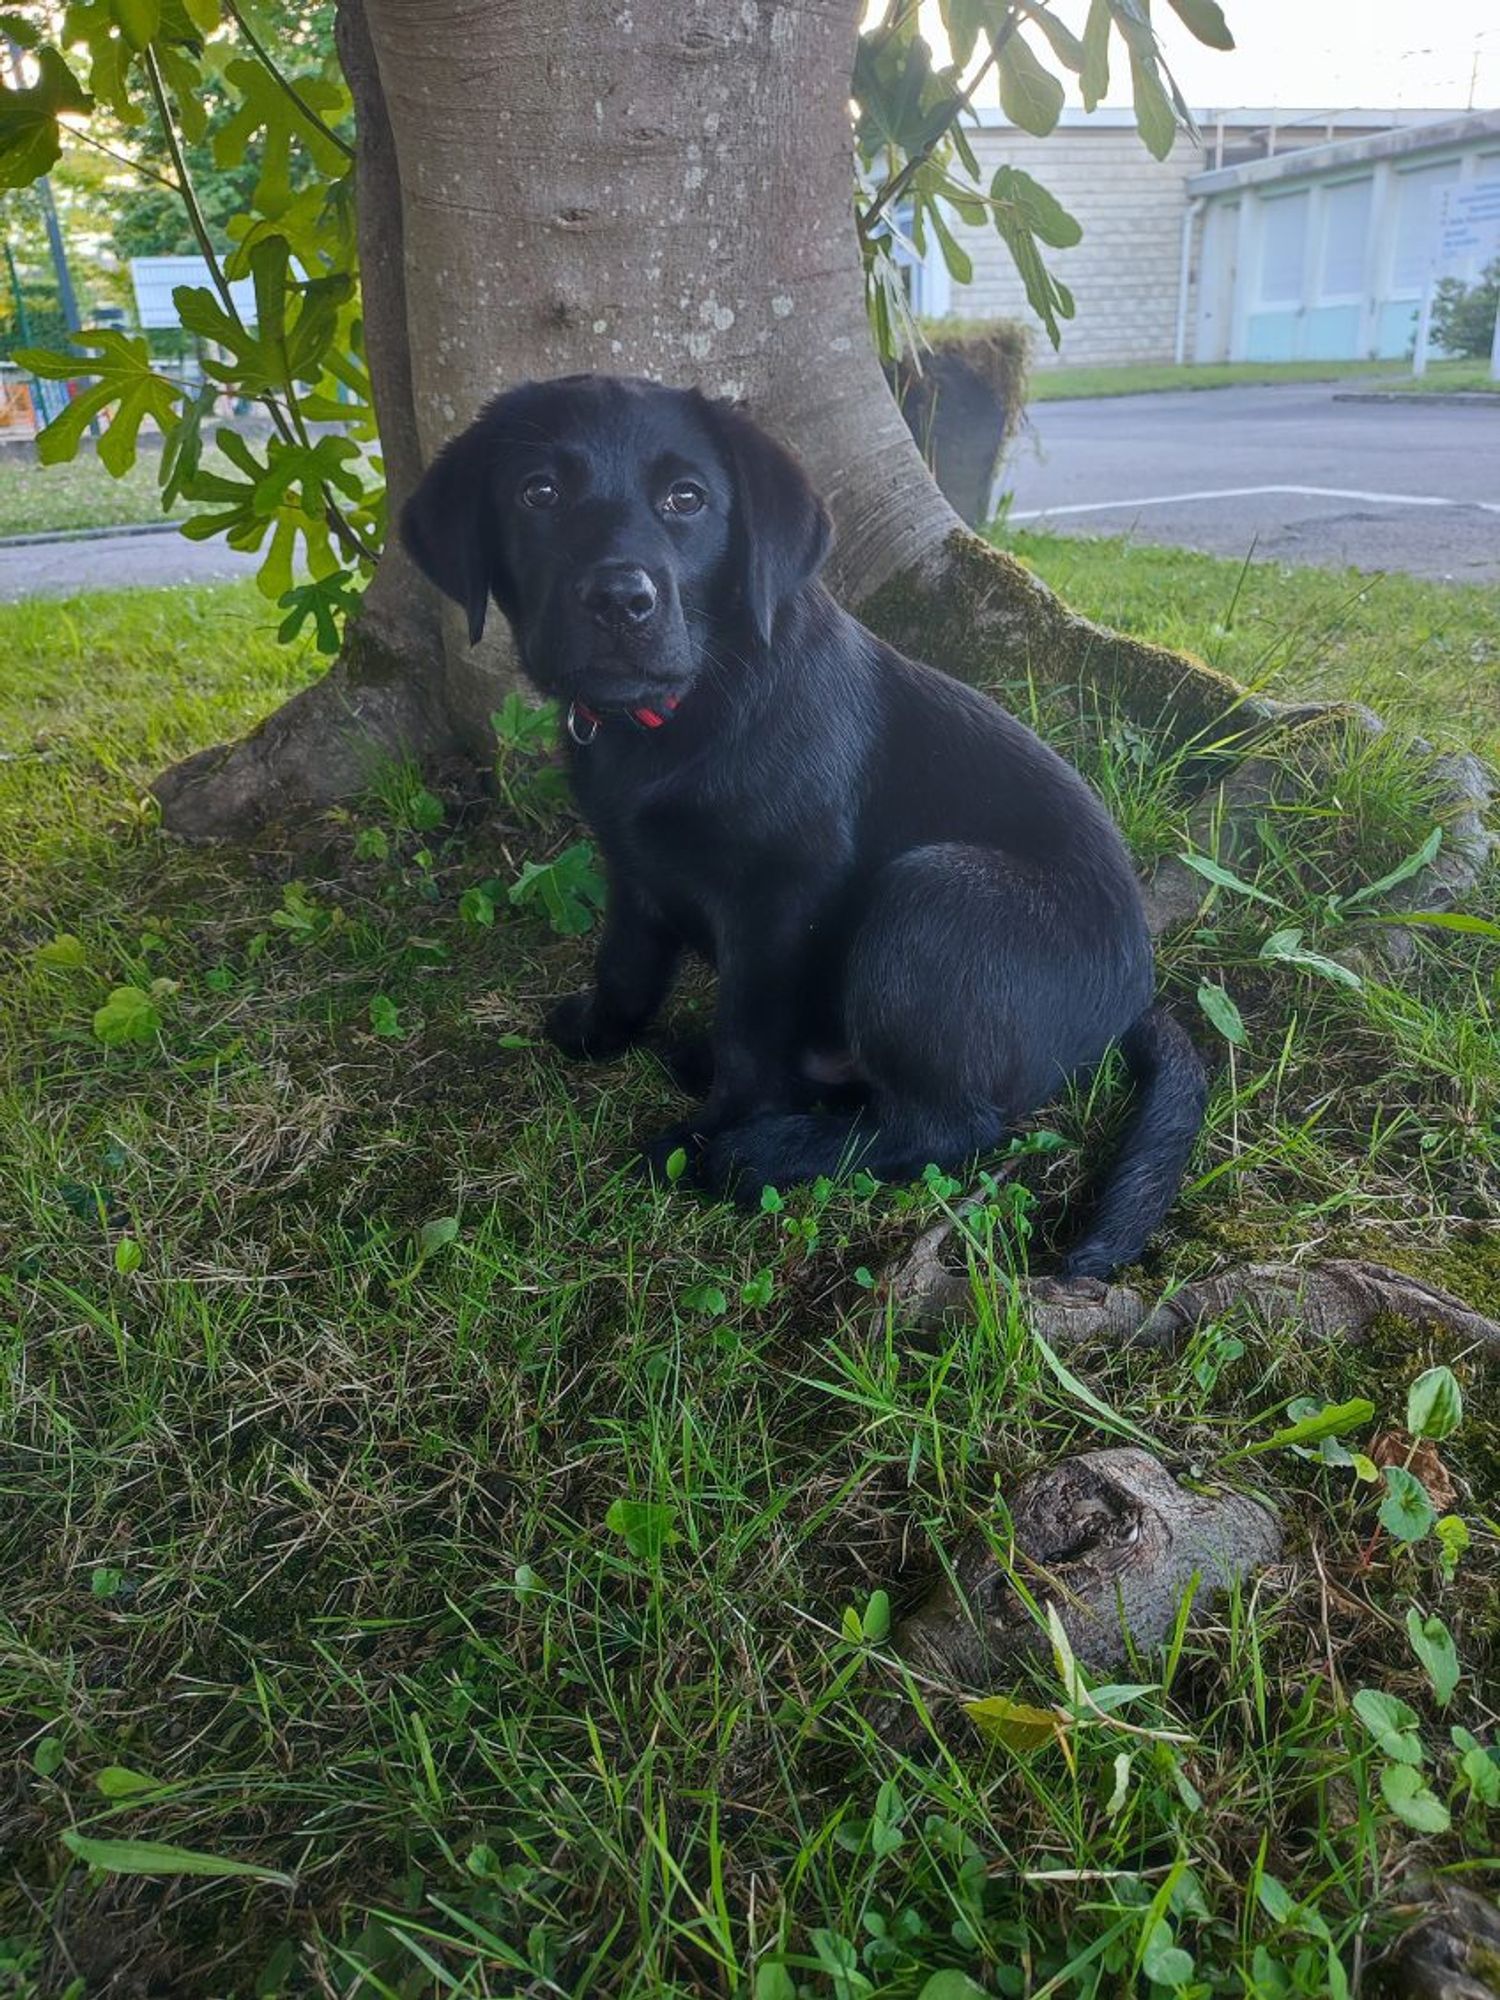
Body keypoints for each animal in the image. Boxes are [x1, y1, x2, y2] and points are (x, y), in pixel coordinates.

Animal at [402, 376, 1208, 1280]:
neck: (683, 713)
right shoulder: (631, 868)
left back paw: (766, 1152)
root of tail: (1136, 1001)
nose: (619, 600)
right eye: (538, 493)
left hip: (938, 898)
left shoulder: (780, 901)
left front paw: (706, 1139)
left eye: (688, 500)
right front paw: (602, 1029)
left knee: (949, 1127)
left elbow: (751, 1033)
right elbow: (627, 963)